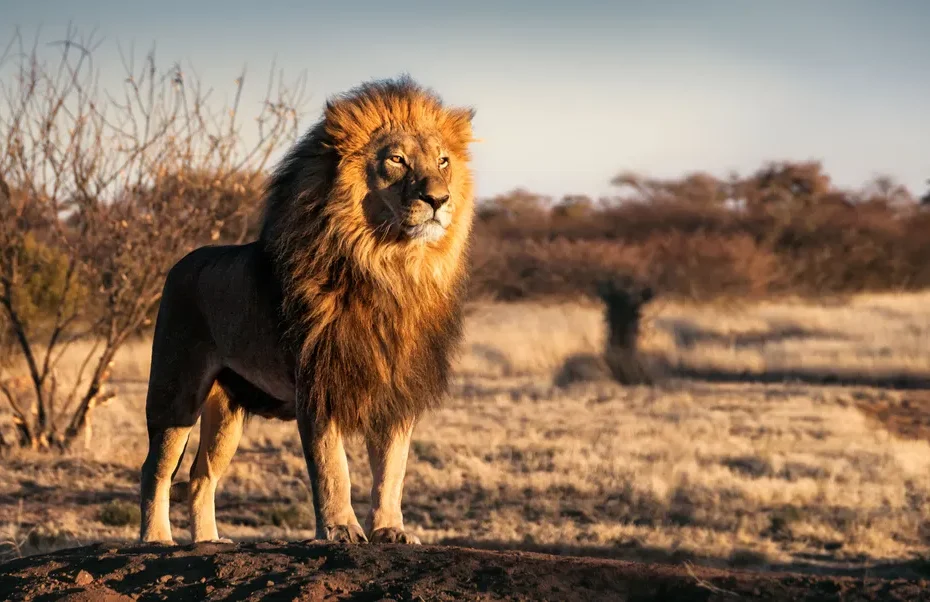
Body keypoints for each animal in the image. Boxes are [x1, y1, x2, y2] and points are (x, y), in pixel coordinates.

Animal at [139, 76, 477, 545]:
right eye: (396, 159)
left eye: (443, 161)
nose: (439, 199)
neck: (390, 268)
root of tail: (181, 262)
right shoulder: (318, 383)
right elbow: (333, 467)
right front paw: (340, 529)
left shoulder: (396, 389)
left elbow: (392, 469)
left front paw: (391, 529)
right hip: (176, 392)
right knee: (156, 469)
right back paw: (156, 539)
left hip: (227, 410)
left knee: (201, 475)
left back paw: (208, 541)